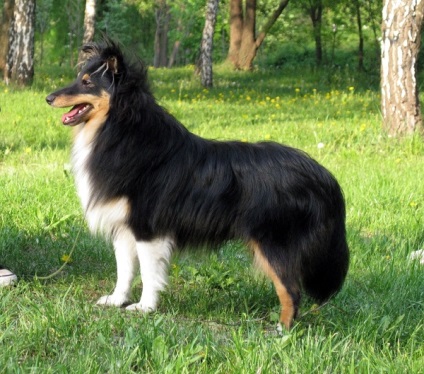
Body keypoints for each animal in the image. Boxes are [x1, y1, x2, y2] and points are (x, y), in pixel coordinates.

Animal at [45, 39, 348, 328]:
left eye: (87, 82)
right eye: (79, 77)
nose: (48, 98)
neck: (120, 130)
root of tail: (324, 176)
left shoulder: (147, 228)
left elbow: (149, 272)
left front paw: (145, 307)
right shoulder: (123, 227)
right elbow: (125, 270)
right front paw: (117, 300)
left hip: (274, 242)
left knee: (291, 291)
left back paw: (281, 330)